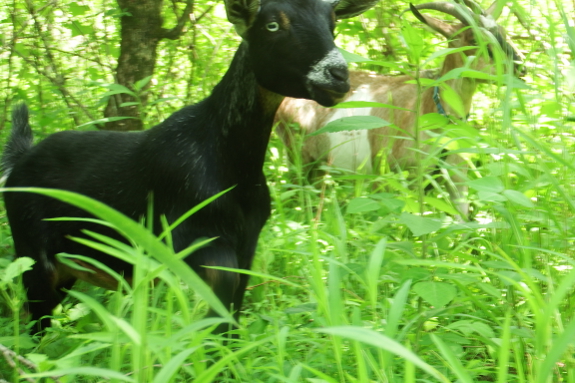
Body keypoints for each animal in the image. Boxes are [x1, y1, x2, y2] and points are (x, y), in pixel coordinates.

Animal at [3, 0, 382, 334]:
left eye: (332, 22)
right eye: (273, 25)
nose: (337, 76)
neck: (231, 164)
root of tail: (21, 156)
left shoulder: (246, 243)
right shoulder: (193, 238)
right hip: (33, 253)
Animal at [276, 0, 524, 219]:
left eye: (502, 32)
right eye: (473, 39)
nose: (520, 67)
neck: (431, 108)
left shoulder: (456, 178)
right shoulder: (389, 172)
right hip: (299, 156)